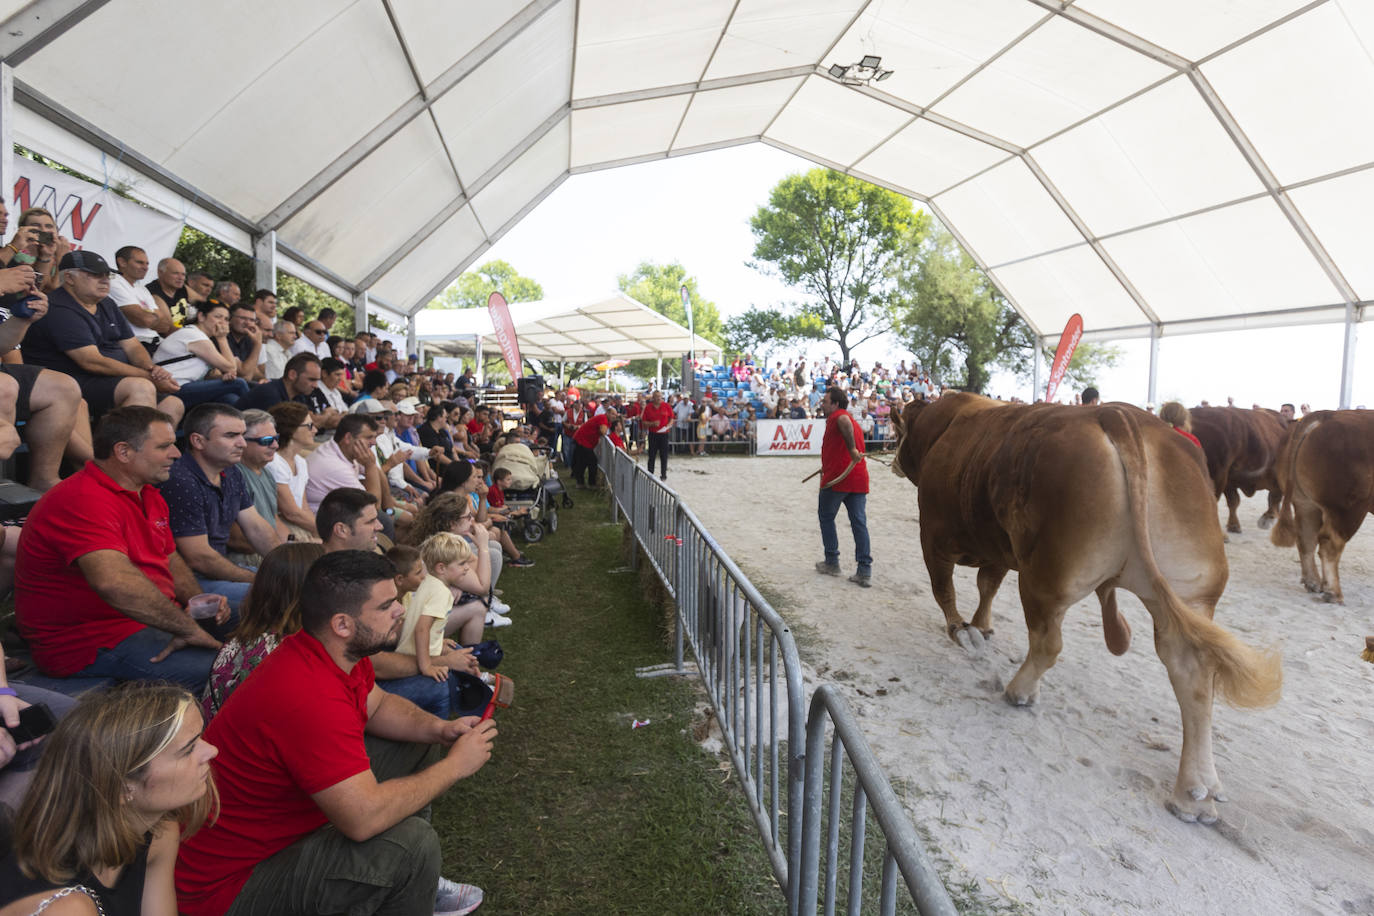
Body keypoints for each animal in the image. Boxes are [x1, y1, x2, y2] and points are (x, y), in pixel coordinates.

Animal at [895, 395, 1280, 823]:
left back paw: (1020, 691)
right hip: (1191, 594)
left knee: (1048, 643)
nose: (893, 460)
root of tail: (1118, 415)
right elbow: (987, 586)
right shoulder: (998, 548)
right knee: (1193, 676)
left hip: (1046, 577)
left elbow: (945, 589)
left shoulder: (934, 535)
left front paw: (962, 630)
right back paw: (1195, 792)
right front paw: (981, 626)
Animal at [1264, 411, 1374, 604]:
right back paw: (1333, 592)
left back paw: (1313, 582)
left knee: (1306, 538)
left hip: (1305, 503)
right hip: (1348, 509)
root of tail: (1326, 415)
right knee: (1329, 543)